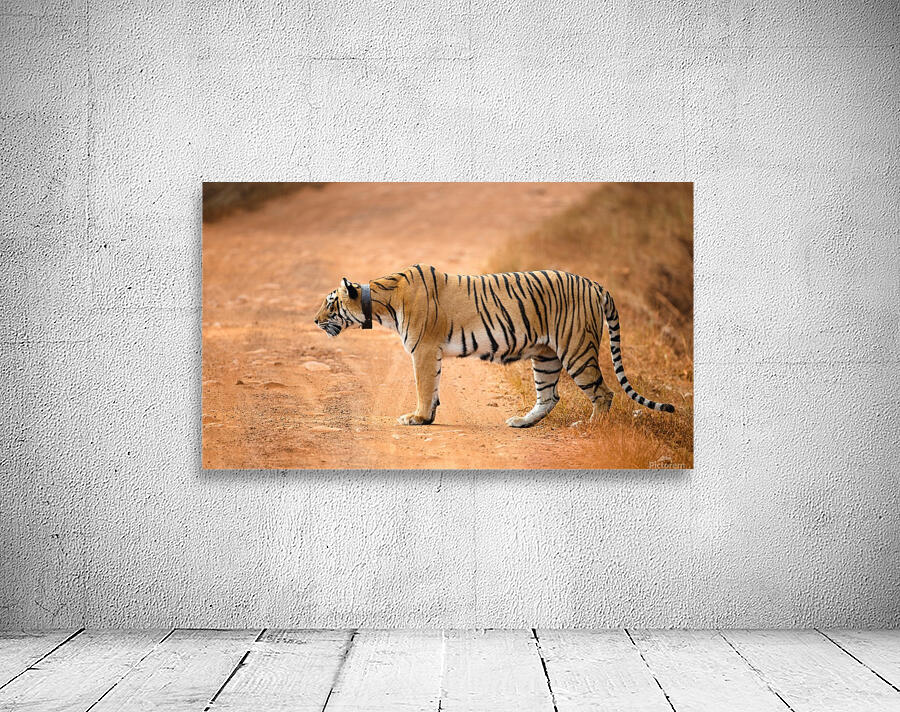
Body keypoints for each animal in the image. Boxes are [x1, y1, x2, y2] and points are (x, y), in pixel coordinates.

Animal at [313, 265, 674, 427]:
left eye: (330, 304)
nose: (315, 321)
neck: (381, 303)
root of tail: (595, 283)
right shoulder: (431, 353)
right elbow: (433, 388)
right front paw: (427, 418)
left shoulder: (424, 350)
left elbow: (423, 386)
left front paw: (416, 418)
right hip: (546, 357)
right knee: (550, 396)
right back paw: (522, 422)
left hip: (577, 351)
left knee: (603, 393)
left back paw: (589, 427)